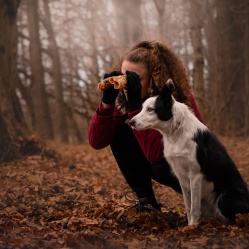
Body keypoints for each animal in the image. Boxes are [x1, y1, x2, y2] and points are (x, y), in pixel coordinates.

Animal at [129, 80, 248, 226]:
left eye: (150, 109)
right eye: (142, 108)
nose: (131, 122)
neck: (175, 132)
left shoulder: (195, 175)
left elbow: (194, 208)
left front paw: (192, 227)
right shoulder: (181, 176)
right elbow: (188, 206)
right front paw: (189, 225)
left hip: (225, 197)